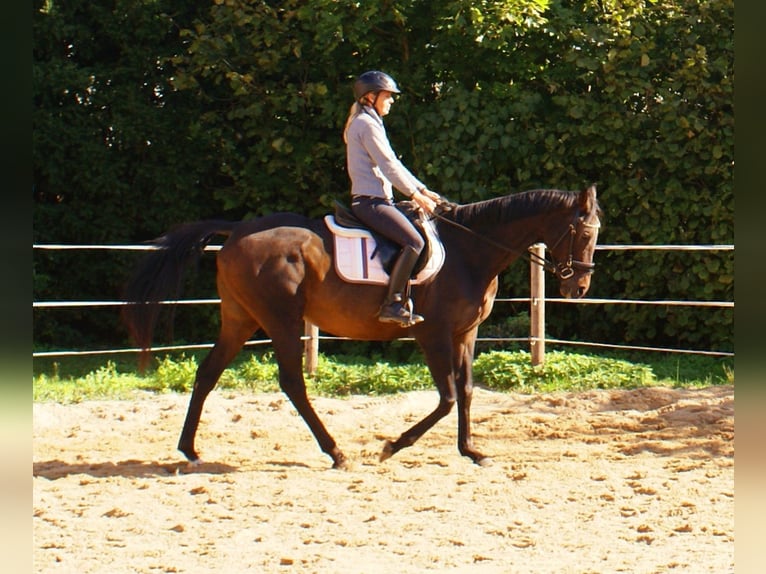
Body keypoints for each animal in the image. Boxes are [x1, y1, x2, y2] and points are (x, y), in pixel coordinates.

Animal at [123, 187, 604, 470]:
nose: (578, 287)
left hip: (240, 319)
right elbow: (447, 398)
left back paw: (189, 450)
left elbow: (466, 393)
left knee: (207, 374)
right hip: (281, 320)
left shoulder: (465, 334)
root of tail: (239, 229)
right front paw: (393, 445)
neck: (470, 251)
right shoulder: (433, 335)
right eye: (583, 233)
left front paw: (471, 451)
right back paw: (335, 452)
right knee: (292, 382)